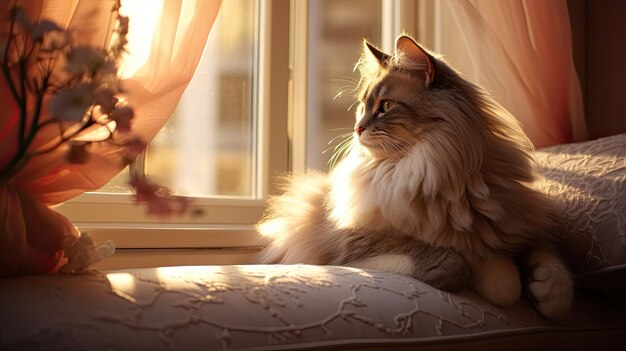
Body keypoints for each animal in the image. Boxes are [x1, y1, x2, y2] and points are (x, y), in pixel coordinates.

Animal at [254, 35, 572, 320]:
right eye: (362, 107)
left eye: (385, 106)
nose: (357, 128)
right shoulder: (354, 247)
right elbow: (458, 265)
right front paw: (495, 275)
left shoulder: (521, 229)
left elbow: (549, 268)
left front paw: (542, 294)